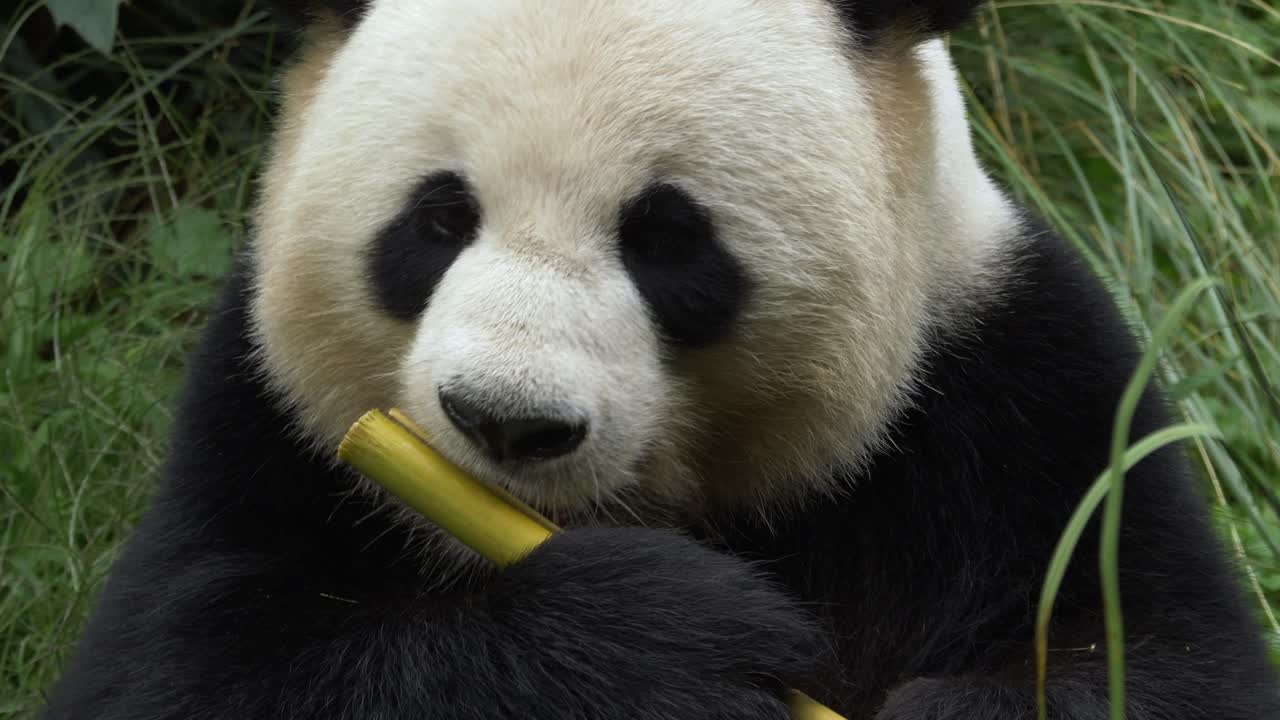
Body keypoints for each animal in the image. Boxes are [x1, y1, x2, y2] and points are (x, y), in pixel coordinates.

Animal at [43, 0, 1279, 718]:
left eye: (666, 239)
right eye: (437, 220)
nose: (505, 420)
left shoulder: (1009, 390)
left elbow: (1164, 653)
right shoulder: (265, 422)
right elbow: (178, 667)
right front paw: (663, 644)